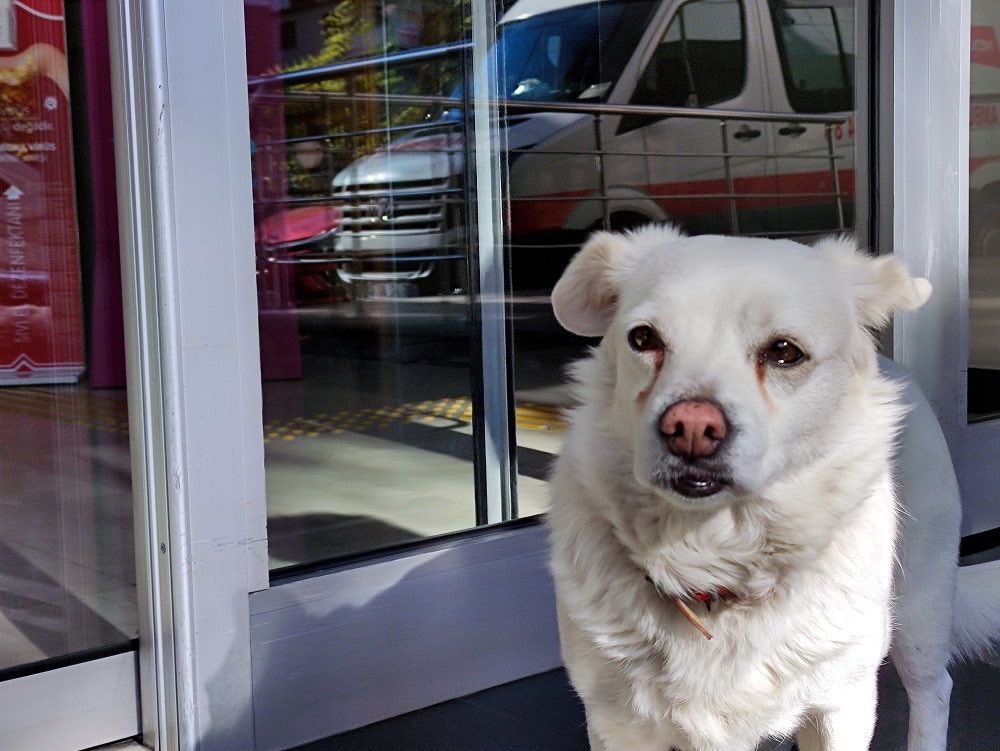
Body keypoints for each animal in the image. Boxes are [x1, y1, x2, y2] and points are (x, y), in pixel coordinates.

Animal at [548, 228, 1000, 751]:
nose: (690, 427)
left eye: (784, 351)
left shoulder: (842, 707)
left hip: (920, 608)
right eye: (643, 339)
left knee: (934, 689)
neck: (715, 563)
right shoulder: (615, 722)